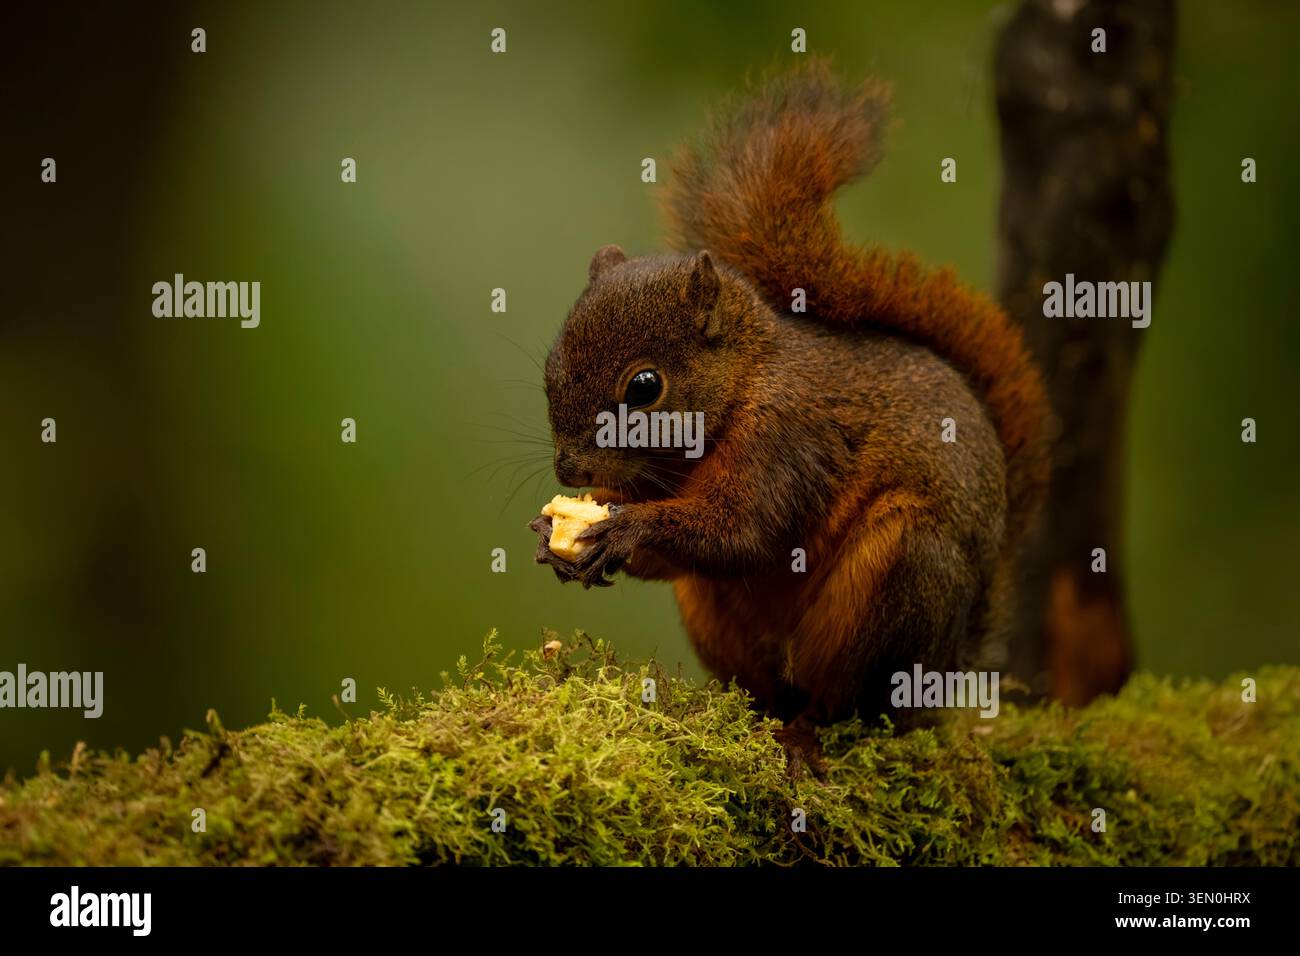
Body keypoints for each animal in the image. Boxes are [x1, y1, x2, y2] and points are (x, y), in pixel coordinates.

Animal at [530, 60, 1050, 740]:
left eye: (645, 387)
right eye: (550, 370)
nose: (570, 470)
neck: (742, 388)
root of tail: (952, 666)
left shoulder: (789, 435)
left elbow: (746, 532)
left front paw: (623, 528)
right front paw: (552, 533)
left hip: (901, 574)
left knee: (853, 701)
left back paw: (809, 731)